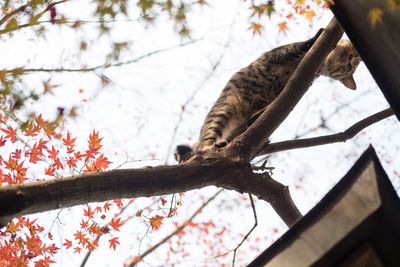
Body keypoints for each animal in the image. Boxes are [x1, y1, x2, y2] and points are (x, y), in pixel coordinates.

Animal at [175, 29, 360, 163]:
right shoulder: (283, 53)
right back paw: (210, 146)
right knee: (203, 144)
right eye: (351, 56)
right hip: (222, 112)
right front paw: (318, 34)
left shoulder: (284, 89)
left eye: (349, 68)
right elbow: (304, 44)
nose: (351, 60)